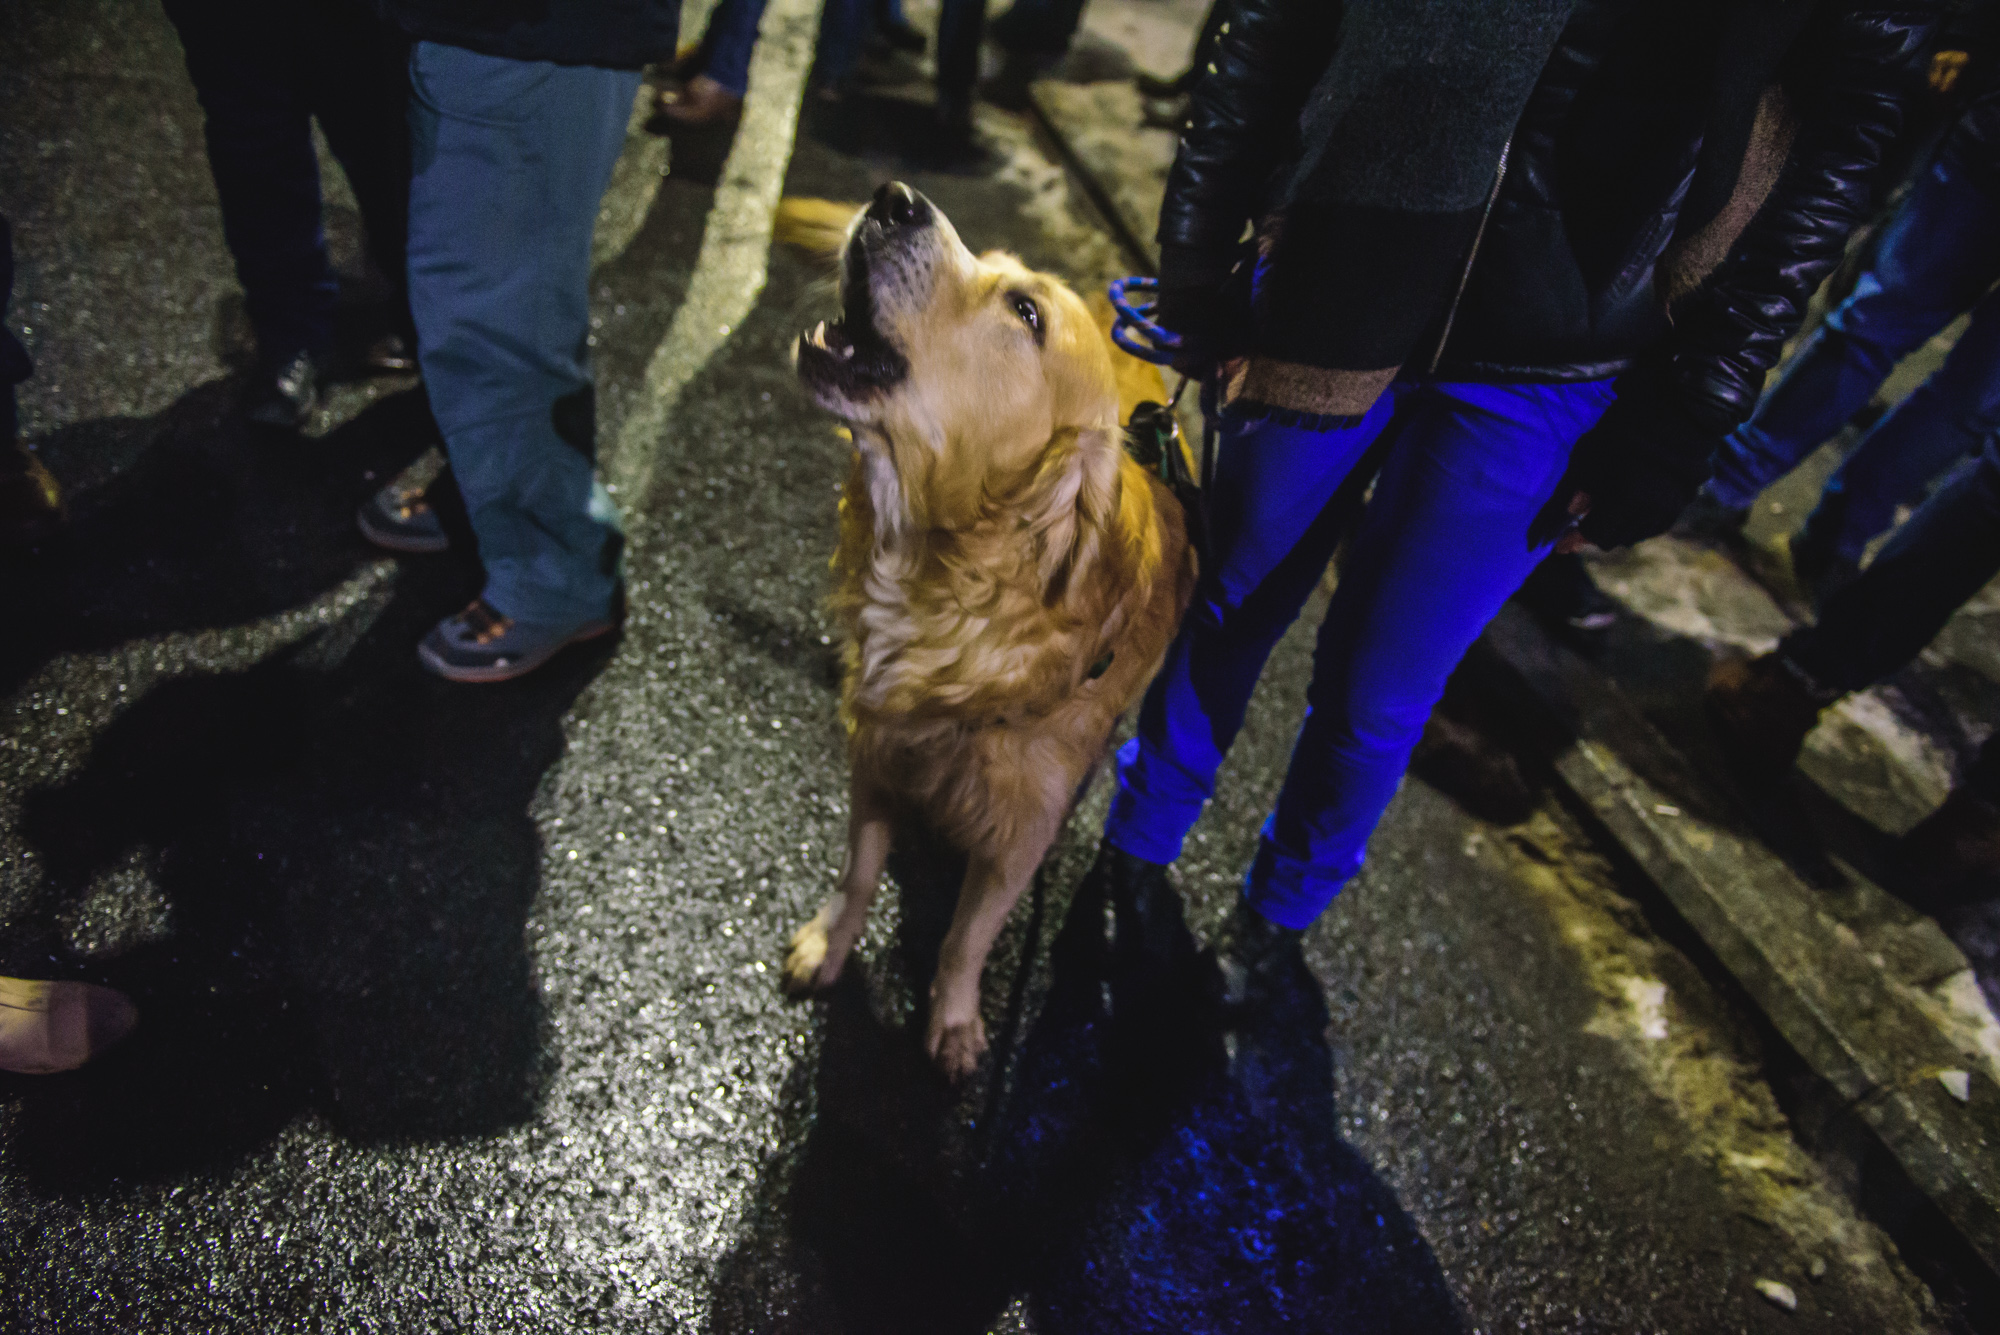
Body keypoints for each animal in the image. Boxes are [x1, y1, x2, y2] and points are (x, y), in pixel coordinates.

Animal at [780, 184, 1192, 1087]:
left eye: (1026, 313)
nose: (894, 197)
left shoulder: (1018, 836)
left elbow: (968, 936)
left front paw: (955, 1019)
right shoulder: (876, 751)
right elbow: (858, 874)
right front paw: (829, 941)